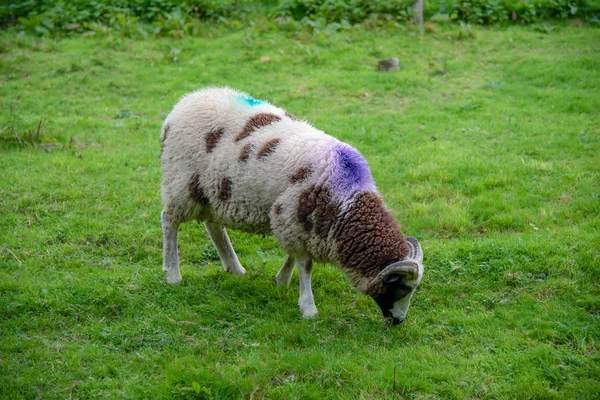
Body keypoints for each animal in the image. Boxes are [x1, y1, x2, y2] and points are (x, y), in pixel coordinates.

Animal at [159, 86, 422, 324]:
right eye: (403, 288)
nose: (398, 321)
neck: (346, 199)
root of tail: (186, 101)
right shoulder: (290, 217)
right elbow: (305, 265)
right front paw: (308, 307)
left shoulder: (296, 222)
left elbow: (294, 257)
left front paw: (282, 281)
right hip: (181, 183)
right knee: (169, 221)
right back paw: (173, 274)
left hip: (213, 192)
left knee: (213, 226)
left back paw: (234, 268)